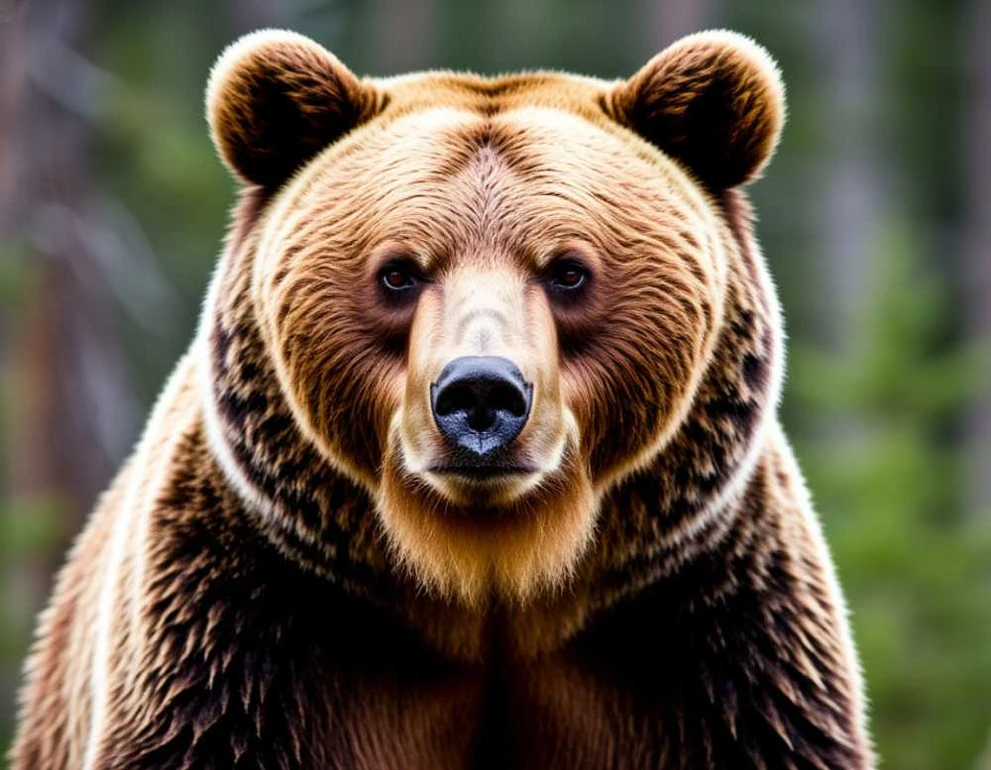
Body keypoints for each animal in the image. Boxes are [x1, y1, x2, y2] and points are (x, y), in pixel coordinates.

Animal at [12, 28, 873, 770]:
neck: (486, 581)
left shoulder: (709, 642)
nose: (481, 392)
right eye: (398, 271)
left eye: (567, 270)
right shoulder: (243, 637)